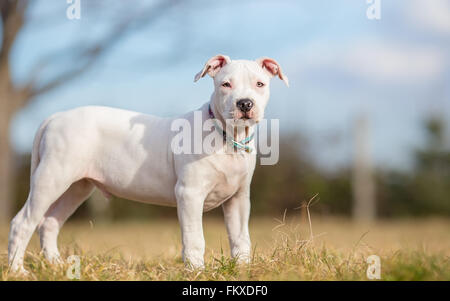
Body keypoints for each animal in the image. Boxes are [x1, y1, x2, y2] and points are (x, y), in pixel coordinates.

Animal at [8, 54, 288, 272]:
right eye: (226, 84)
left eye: (260, 84)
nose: (245, 103)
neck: (227, 137)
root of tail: (55, 117)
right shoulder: (189, 194)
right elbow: (195, 238)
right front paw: (197, 271)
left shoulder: (238, 198)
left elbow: (241, 238)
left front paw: (243, 269)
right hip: (52, 178)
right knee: (23, 223)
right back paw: (17, 270)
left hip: (77, 186)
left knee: (49, 223)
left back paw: (55, 265)